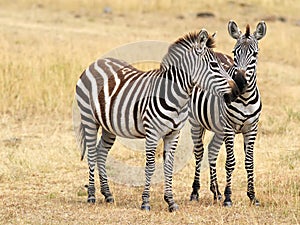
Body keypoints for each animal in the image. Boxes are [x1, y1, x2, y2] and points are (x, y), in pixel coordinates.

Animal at [75, 29, 241, 212]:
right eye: (214, 65)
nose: (236, 92)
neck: (175, 96)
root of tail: (97, 62)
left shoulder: (173, 134)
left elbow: (168, 166)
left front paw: (170, 201)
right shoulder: (152, 133)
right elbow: (150, 166)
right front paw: (145, 202)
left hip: (108, 126)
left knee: (101, 153)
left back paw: (108, 194)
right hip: (89, 119)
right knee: (91, 154)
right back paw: (91, 195)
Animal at [190, 20, 268, 206]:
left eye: (255, 54)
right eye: (235, 52)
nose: (239, 81)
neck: (245, 98)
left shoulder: (251, 129)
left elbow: (249, 162)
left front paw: (252, 196)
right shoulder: (229, 128)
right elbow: (230, 162)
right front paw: (228, 197)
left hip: (218, 129)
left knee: (211, 151)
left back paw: (215, 192)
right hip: (196, 122)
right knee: (199, 152)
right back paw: (195, 192)